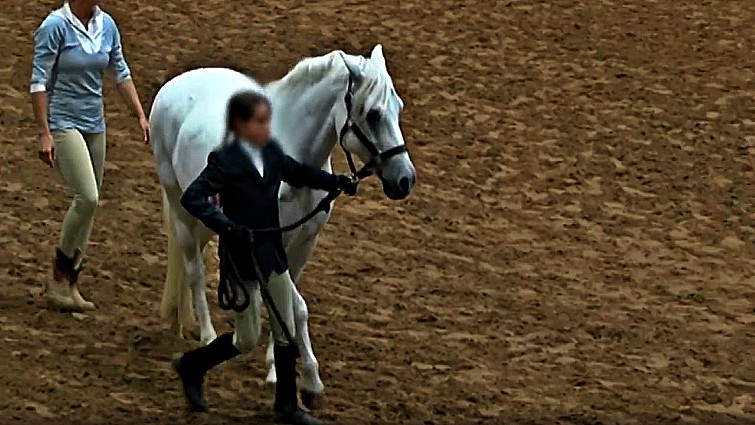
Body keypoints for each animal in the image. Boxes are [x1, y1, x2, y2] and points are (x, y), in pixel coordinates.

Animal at [149, 44, 416, 408]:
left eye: (398, 107)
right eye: (373, 114)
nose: (405, 180)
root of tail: (174, 85)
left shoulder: (304, 243)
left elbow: (286, 307)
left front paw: (279, 370)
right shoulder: (273, 243)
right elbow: (297, 308)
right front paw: (309, 380)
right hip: (180, 207)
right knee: (194, 270)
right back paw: (206, 335)